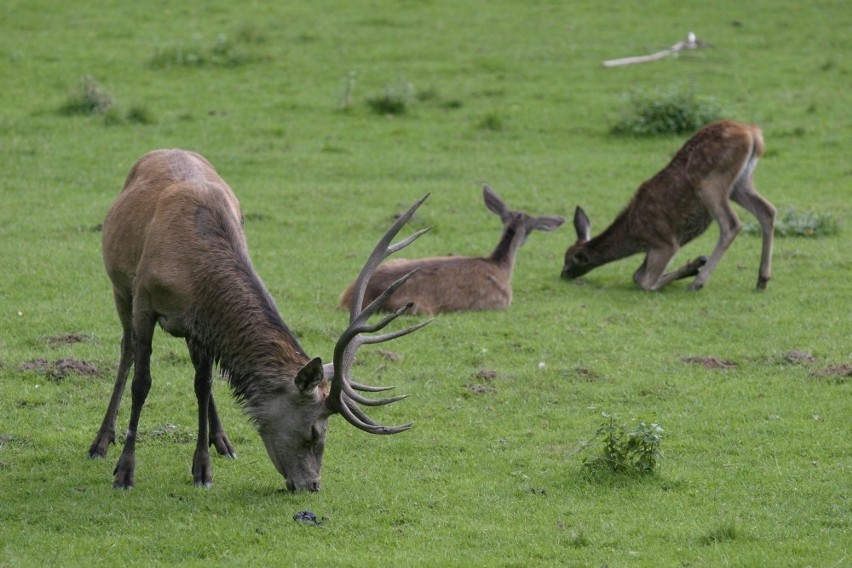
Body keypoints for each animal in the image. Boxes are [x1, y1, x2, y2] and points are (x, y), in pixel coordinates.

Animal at [88, 149, 432, 490]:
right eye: (313, 433)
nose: (312, 485)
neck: (191, 272)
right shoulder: (144, 303)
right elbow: (142, 382)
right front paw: (125, 472)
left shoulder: (200, 323)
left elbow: (203, 385)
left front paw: (203, 469)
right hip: (120, 290)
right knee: (127, 350)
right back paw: (101, 442)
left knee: (201, 378)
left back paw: (222, 442)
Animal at [564, 118, 776, 290]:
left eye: (568, 262)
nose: (562, 275)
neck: (634, 236)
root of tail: (752, 132)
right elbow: (637, 274)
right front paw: (692, 266)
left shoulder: (665, 242)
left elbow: (644, 281)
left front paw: (694, 267)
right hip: (740, 184)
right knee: (768, 210)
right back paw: (762, 279)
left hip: (711, 183)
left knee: (731, 224)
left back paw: (698, 283)